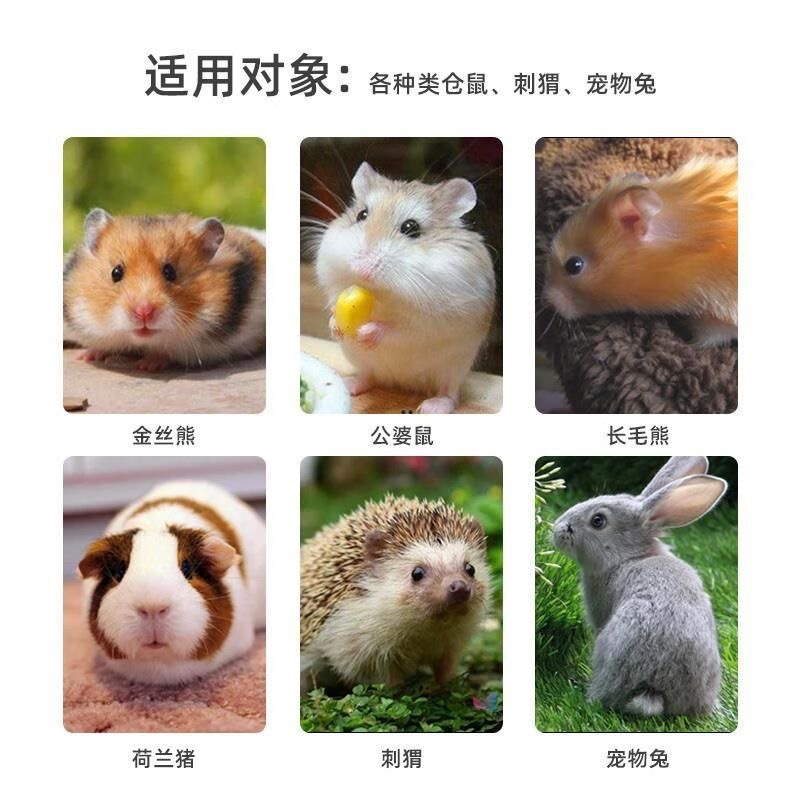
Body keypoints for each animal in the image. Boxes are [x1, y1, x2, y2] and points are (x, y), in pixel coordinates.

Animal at [64, 209, 266, 371]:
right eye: (116, 272)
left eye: (170, 272)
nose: (144, 312)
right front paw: (87, 356)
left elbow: (165, 353)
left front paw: (146, 366)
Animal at [314, 162, 496, 414]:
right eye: (362, 215)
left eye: (411, 227)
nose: (362, 269)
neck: (381, 293)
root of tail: (401, 383)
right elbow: (334, 308)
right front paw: (336, 327)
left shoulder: (432, 321)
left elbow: (399, 329)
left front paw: (367, 333)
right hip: (361, 359)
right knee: (368, 377)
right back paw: (349, 383)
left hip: (455, 367)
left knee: (450, 394)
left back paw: (431, 407)